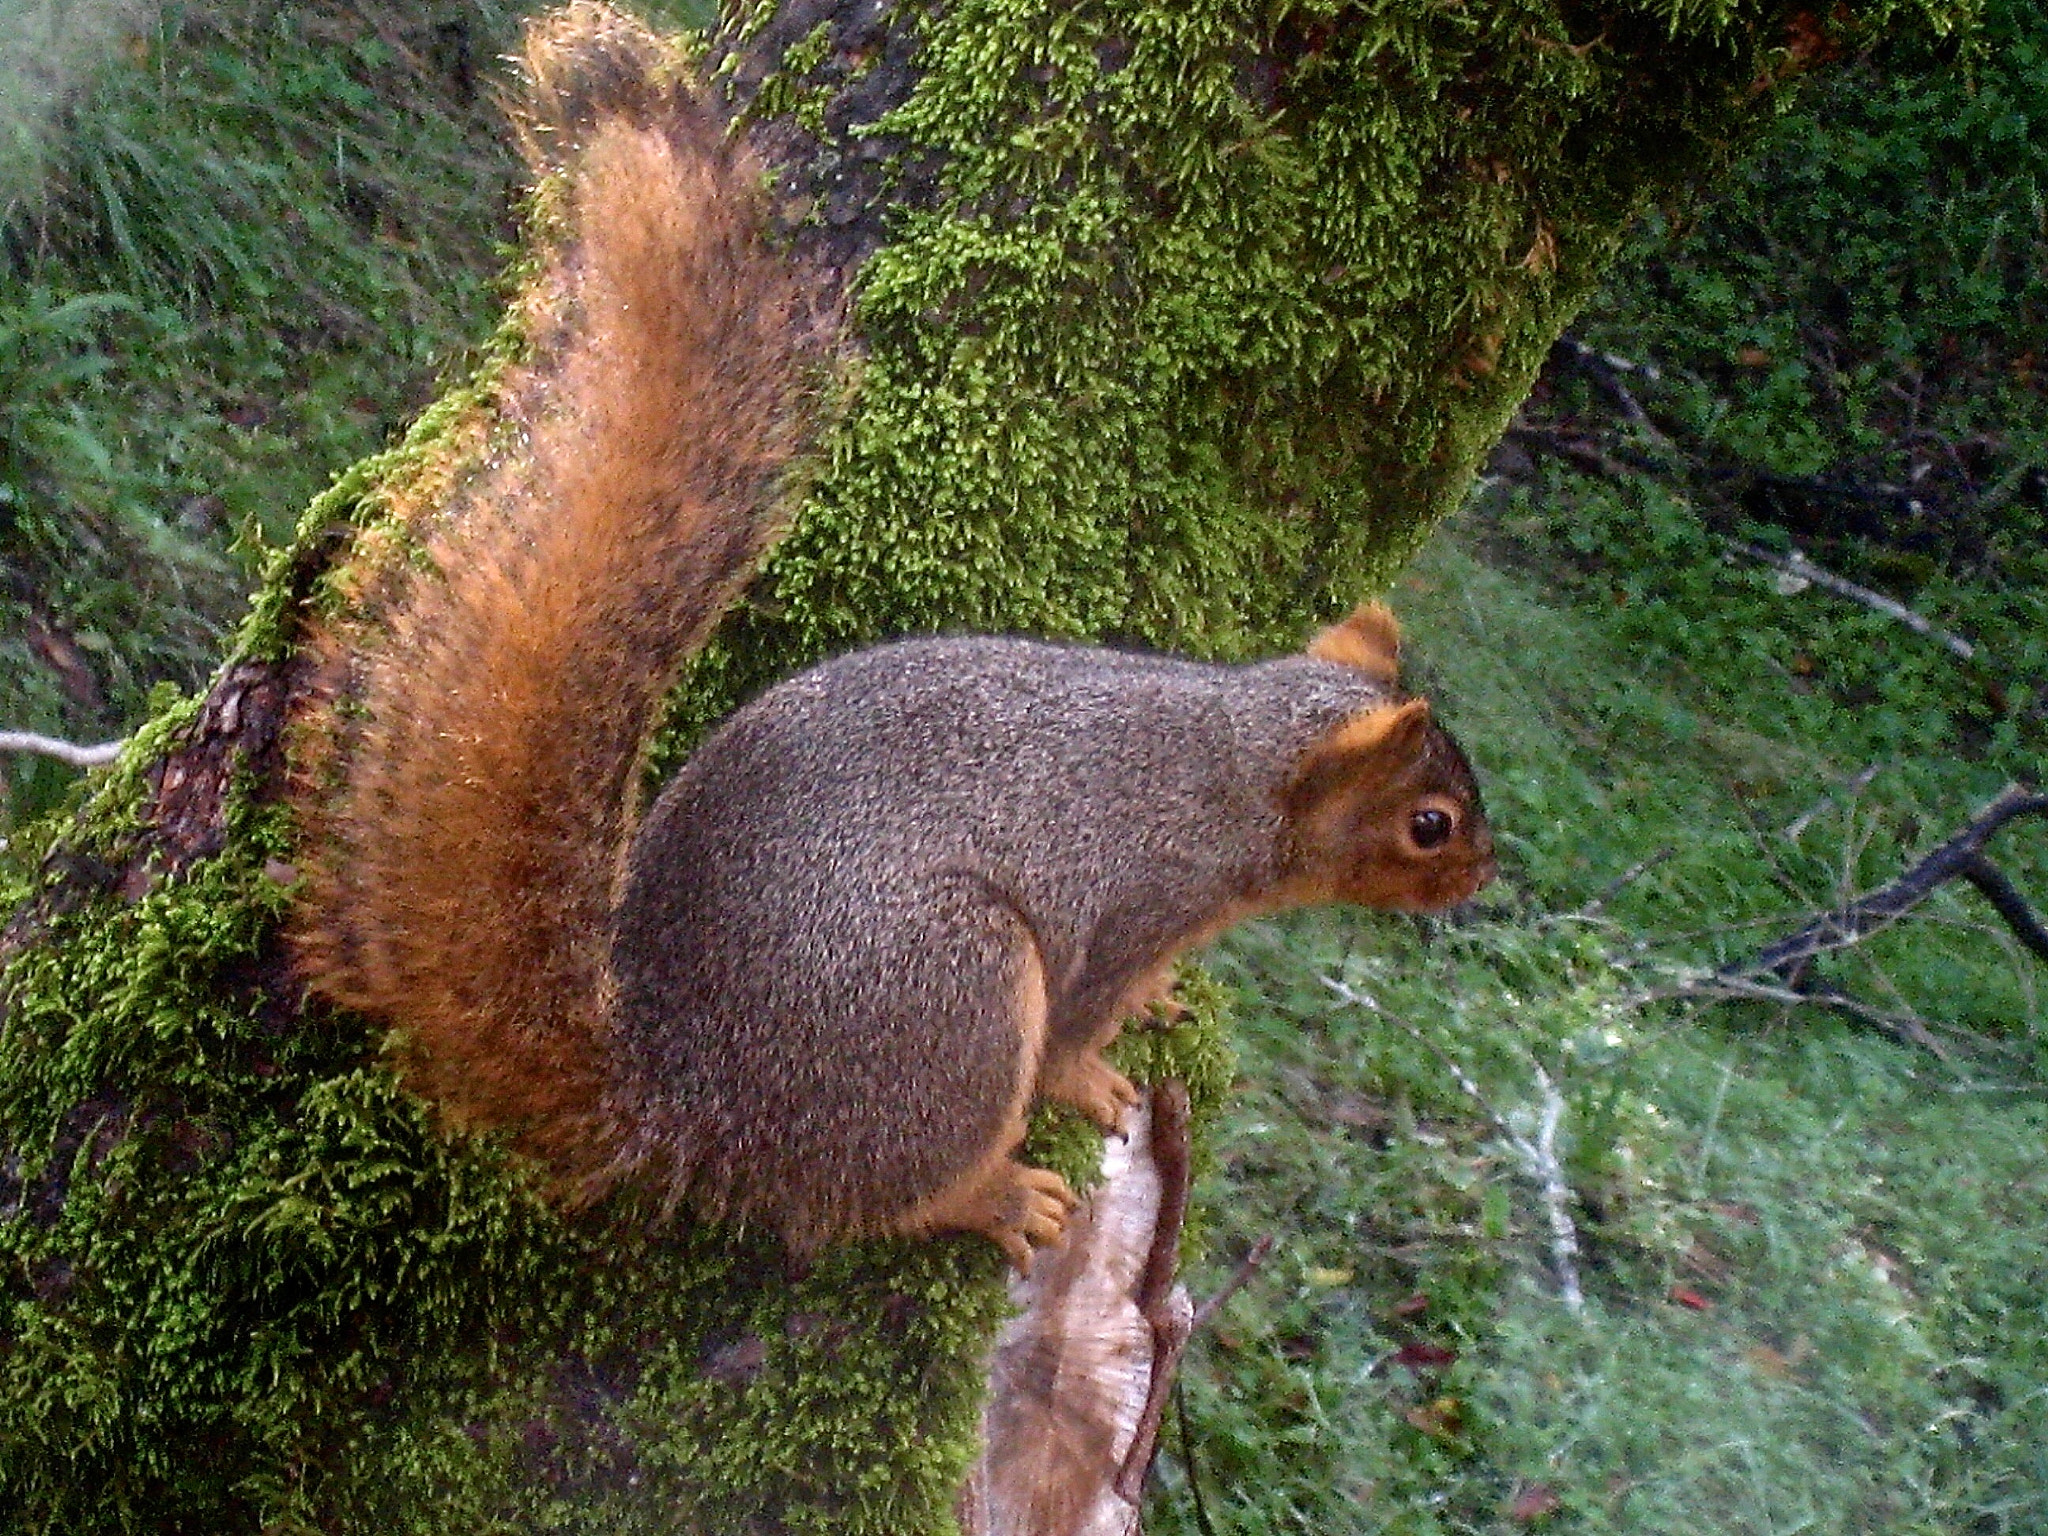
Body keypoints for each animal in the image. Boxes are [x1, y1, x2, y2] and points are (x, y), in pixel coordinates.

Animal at [288, 3, 1499, 1277]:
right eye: (1428, 825)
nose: (1482, 873)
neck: (1238, 760)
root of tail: (687, 1105)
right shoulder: (1132, 906)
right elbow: (1073, 1037)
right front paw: (1098, 1078)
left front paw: (1167, 1002)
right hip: (945, 994)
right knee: (870, 1197)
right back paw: (993, 1197)